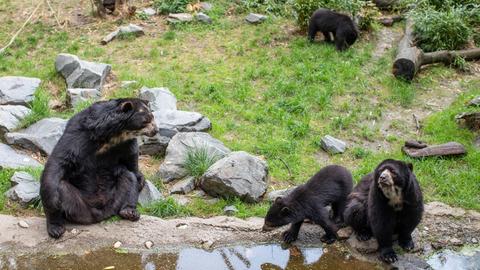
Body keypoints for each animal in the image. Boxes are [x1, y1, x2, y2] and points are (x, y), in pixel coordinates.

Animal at [40, 98, 158, 237]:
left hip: (115, 199)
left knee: (128, 178)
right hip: (77, 203)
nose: (156, 130)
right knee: (61, 187)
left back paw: (129, 212)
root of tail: (99, 215)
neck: (113, 134)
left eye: (152, 117)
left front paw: (140, 179)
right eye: (146, 120)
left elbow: (132, 163)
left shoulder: (126, 144)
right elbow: (59, 161)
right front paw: (52, 200)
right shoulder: (78, 135)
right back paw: (56, 228)